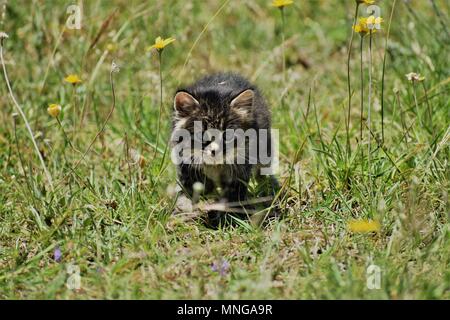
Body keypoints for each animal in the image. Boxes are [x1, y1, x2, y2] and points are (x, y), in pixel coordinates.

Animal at [171, 73, 278, 228]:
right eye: (202, 135)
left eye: (227, 135)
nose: (215, 151)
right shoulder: (187, 165)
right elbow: (190, 192)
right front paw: (185, 212)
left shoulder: (240, 169)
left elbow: (232, 196)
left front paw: (225, 217)